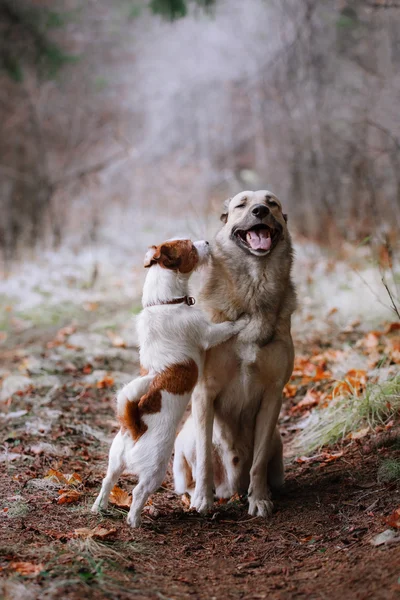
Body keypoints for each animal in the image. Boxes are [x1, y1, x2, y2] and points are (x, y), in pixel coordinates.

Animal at [173, 190, 296, 516]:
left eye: (272, 202)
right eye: (242, 204)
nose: (260, 210)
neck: (254, 285)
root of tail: (232, 488)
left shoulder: (273, 395)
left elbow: (259, 461)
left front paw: (260, 499)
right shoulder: (204, 393)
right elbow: (204, 456)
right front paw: (203, 500)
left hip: (277, 443)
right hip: (183, 442)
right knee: (188, 475)